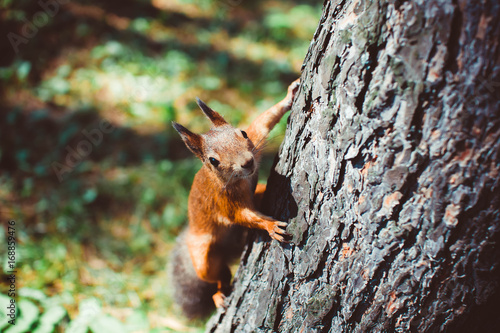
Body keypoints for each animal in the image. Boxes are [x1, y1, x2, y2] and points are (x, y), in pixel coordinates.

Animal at [170, 78, 298, 316]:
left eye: (242, 133)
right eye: (213, 160)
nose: (247, 162)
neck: (240, 179)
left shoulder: (256, 142)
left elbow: (263, 122)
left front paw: (289, 96)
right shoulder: (224, 201)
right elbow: (242, 216)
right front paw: (270, 226)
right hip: (203, 257)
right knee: (217, 275)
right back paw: (218, 294)